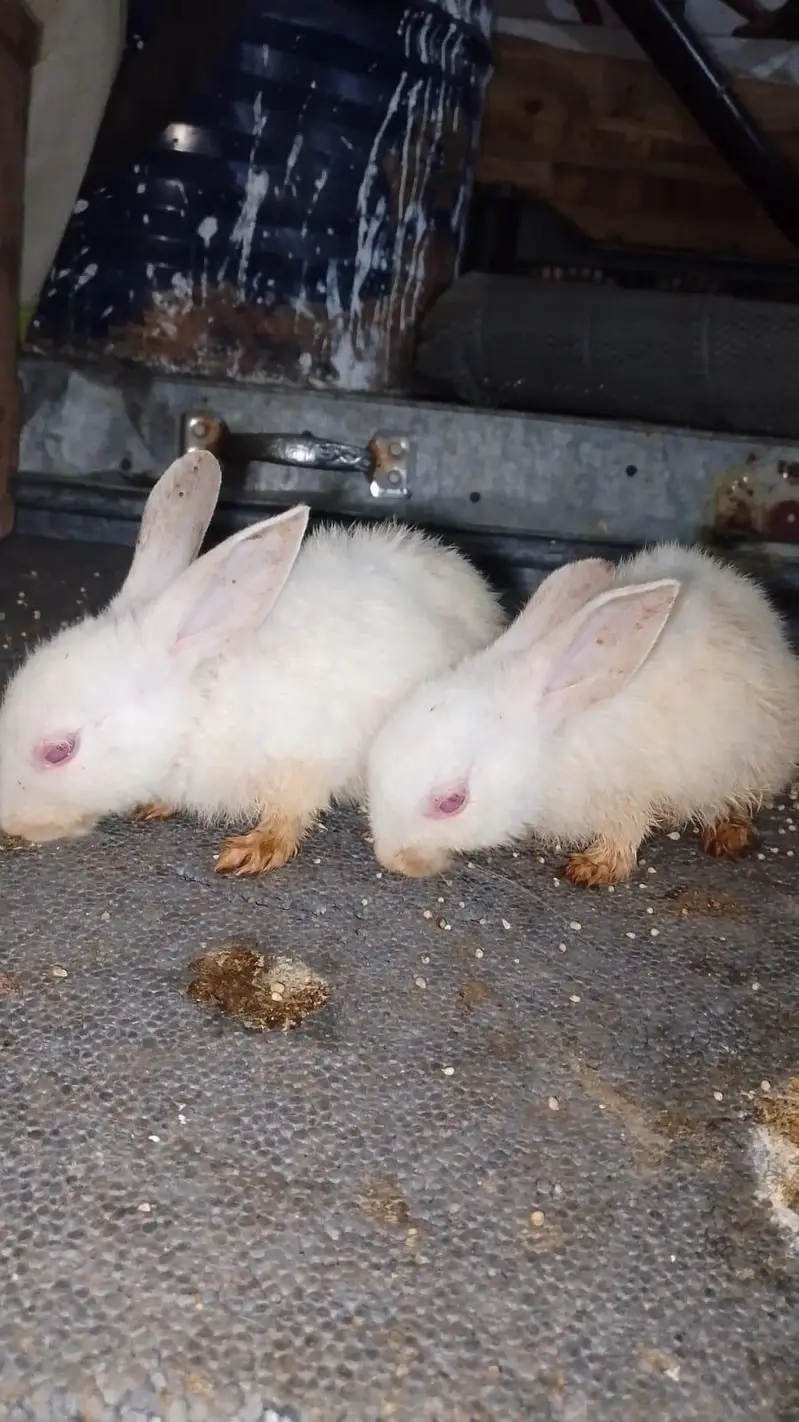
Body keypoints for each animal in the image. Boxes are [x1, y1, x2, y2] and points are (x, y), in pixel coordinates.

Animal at [0, 450, 505, 875]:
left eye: (59, 750)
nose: (7, 820)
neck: (197, 710)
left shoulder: (307, 758)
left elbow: (291, 813)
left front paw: (252, 852)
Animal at [366, 544, 799, 886]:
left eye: (452, 802)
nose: (391, 858)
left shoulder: (626, 794)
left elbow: (624, 835)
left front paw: (593, 869)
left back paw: (728, 833)